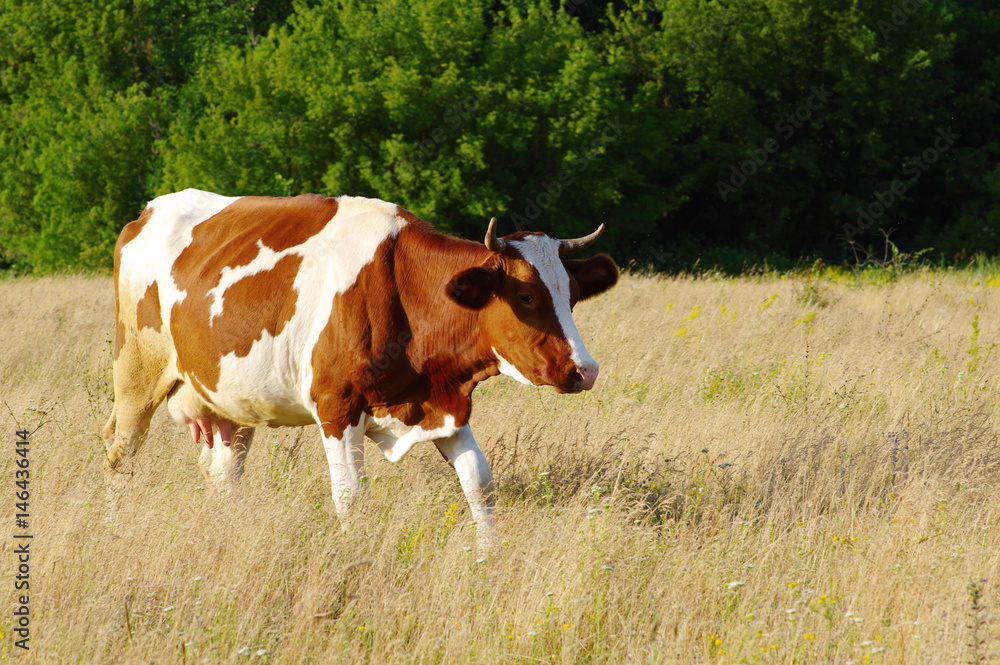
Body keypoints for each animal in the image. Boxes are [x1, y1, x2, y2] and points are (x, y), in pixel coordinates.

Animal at [103, 188, 616, 548]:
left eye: (572, 294)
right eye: (526, 295)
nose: (585, 370)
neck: (404, 288)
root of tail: (149, 210)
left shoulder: (441, 404)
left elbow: (480, 484)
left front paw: (490, 558)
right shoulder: (336, 406)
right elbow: (351, 496)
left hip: (233, 400)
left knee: (224, 475)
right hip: (135, 375)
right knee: (118, 452)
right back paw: (113, 516)